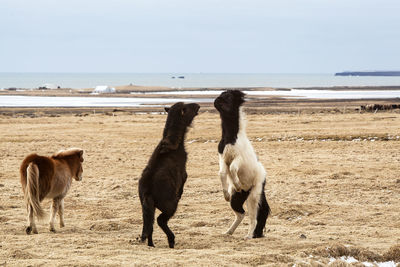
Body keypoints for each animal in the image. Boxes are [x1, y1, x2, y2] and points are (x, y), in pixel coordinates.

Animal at [214, 90, 270, 239]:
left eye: (229, 96)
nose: (216, 101)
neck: (231, 138)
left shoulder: (239, 158)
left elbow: (233, 168)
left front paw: (238, 184)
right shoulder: (223, 158)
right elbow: (222, 173)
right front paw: (226, 194)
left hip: (254, 196)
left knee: (254, 217)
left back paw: (249, 236)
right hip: (237, 199)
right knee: (241, 214)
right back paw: (228, 232)